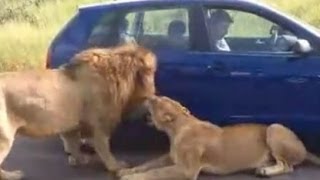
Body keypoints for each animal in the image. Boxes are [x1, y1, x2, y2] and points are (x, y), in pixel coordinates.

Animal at [0, 43, 156, 179]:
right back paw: (13, 175)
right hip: (5, 137)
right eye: (152, 72)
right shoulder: (100, 123)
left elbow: (73, 144)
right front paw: (115, 165)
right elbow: (103, 147)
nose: (154, 91)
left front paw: (79, 159)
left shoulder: (71, 124)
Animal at [119, 96, 320, 179]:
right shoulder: (171, 157)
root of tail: (303, 146)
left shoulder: (187, 170)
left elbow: (156, 172)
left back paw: (265, 171)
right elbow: (149, 164)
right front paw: (126, 171)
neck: (177, 128)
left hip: (274, 128)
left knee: (288, 166)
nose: (148, 97)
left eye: (155, 101)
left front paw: (130, 178)